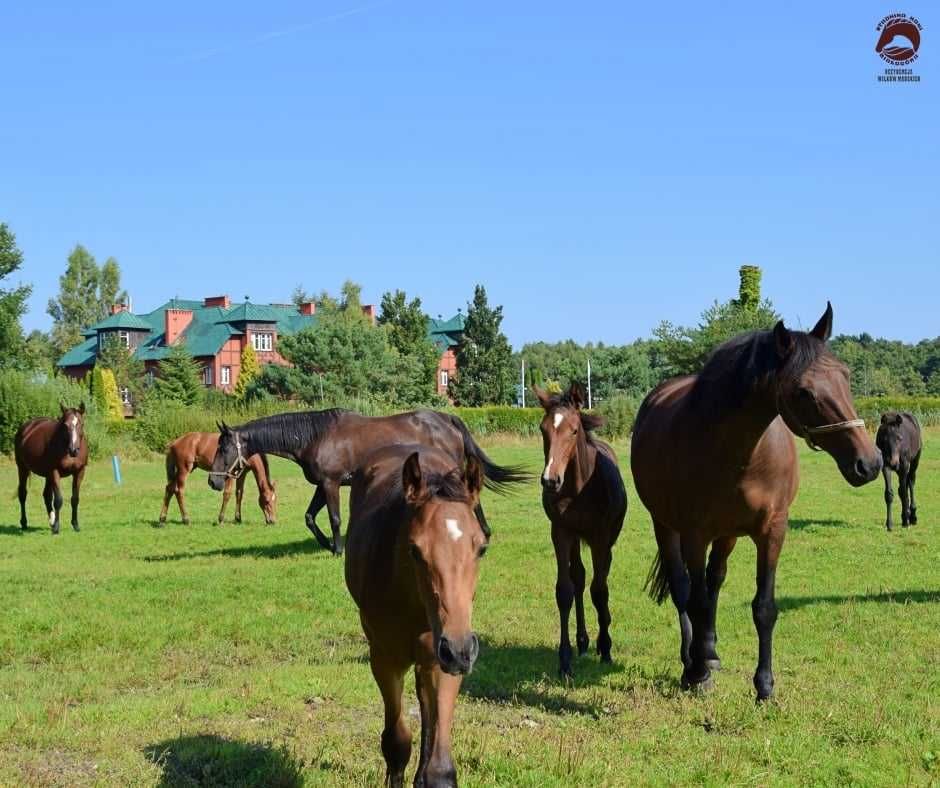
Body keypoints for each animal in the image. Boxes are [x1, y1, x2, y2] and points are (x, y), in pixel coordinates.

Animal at [15, 400, 90, 536]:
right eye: (65, 425)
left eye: (81, 424)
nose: (73, 450)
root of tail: (27, 427)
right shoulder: (55, 472)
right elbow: (58, 500)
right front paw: (57, 528)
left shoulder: (79, 472)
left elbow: (75, 499)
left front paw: (75, 525)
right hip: (22, 468)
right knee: (23, 494)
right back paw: (24, 523)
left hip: (47, 475)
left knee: (46, 495)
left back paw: (51, 521)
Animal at [207, 410, 528, 556]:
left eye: (223, 448)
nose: (212, 481)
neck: (315, 436)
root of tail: (447, 419)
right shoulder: (321, 485)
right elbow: (310, 517)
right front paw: (327, 544)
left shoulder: (331, 483)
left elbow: (335, 518)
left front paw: (337, 549)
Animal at [346, 446, 492, 784]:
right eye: (415, 550)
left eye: (481, 549)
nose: (459, 650)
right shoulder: (384, 659)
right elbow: (396, 744)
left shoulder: (445, 658)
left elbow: (440, 769)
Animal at [532, 382, 628, 676]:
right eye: (543, 429)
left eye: (574, 430)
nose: (550, 480)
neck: (579, 487)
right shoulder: (561, 532)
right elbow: (565, 590)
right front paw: (564, 661)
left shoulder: (599, 537)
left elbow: (600, 591)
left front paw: (606, 647)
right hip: (575, 539)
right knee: (579, 577)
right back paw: (582, 641)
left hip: (607, 541)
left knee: (599, 579)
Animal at [632, 304, 880, 700]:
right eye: (803, 391)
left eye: (844, 375)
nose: (868, 463)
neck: (739, 454)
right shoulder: (694, 535)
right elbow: (696, 600)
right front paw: (697, 674)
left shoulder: (772, 531)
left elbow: (763, 607)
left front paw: (764, 685)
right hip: (665, 525)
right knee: (684, 589)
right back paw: (692, 660)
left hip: (727, 535)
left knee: (715, 580)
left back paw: (710, 651)